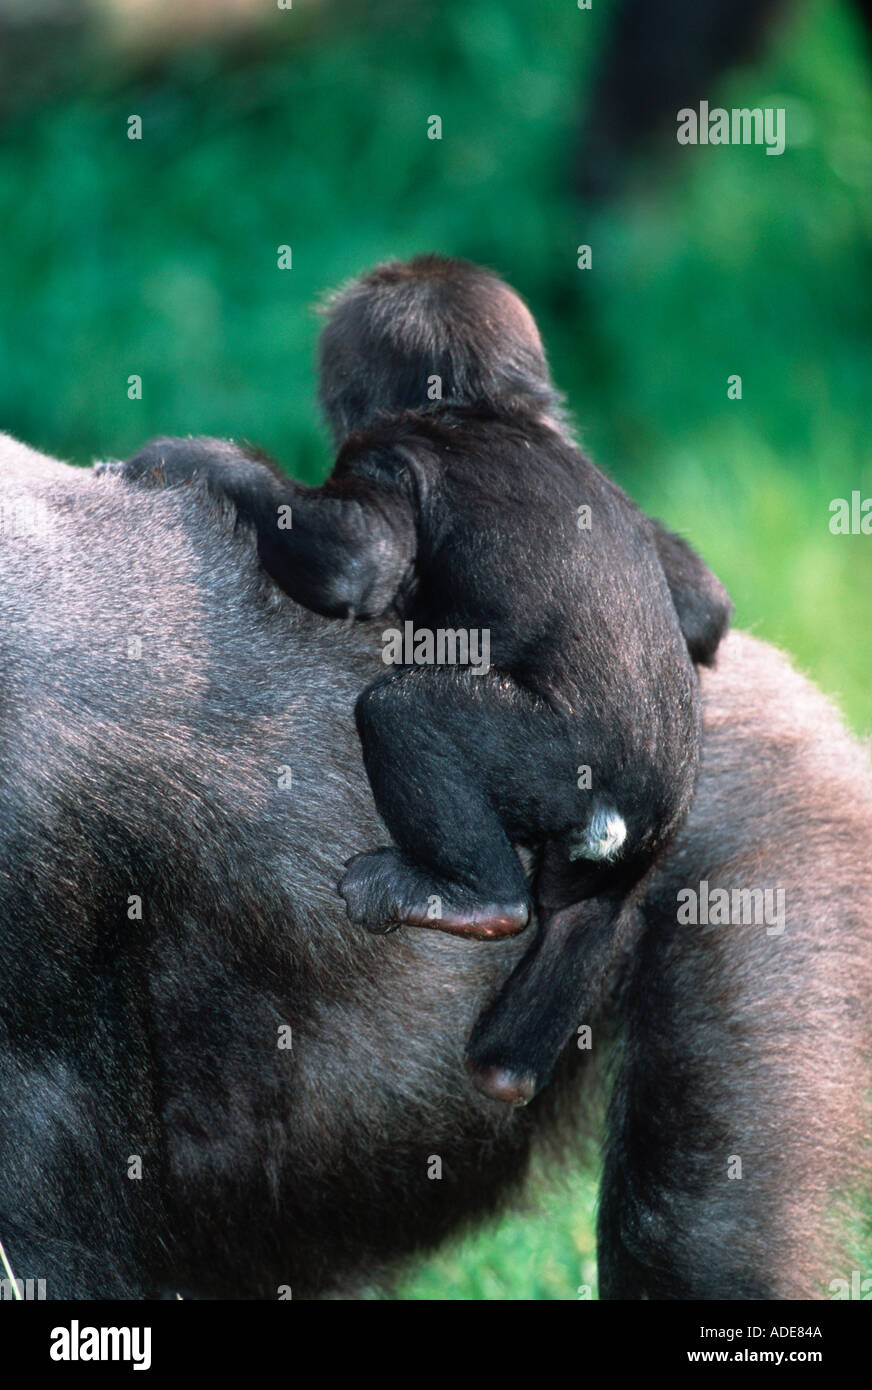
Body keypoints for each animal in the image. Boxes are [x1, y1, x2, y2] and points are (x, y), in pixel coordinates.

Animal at [108, 256, 732, 1105]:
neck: (486, 413)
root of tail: (637, 813)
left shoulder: (385, 452)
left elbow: (359, 560)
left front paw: (195, 457)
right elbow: (701, 601)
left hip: (560, 765)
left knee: (404, 715)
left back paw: (470, 899)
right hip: (622, 863)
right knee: (578, 928)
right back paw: (505, 1065)